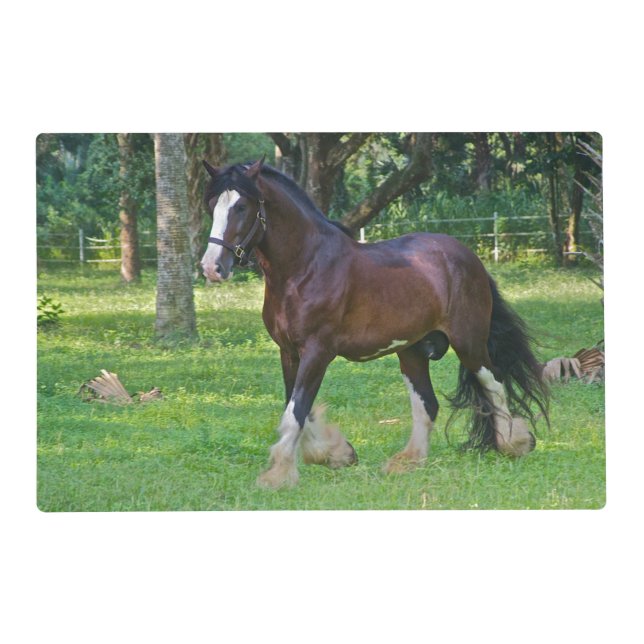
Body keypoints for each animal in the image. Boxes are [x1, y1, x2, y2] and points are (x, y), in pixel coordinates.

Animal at [200, 158, 549, 489]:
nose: (212, 267)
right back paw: (407, 461)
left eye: (241, 206)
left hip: (469, 343)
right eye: (212, 204)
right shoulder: (289, 352)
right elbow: (297, 407)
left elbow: (296, 411)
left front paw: (278, 475)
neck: (306, 268)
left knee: (494, 385)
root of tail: (469, 257)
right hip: (412, 352)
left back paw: (514, 443)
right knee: (428, 404)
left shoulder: (317, 352)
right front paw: (336, 453)